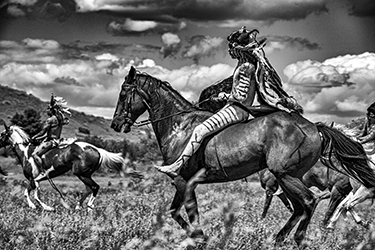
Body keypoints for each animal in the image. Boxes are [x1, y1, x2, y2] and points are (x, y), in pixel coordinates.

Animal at [0, 123, 135, 211]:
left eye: (2, 134)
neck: (25, 153)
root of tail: (98, 150)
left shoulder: (33, 179)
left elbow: (32, 195)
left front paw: (44, 207)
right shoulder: (34, 180)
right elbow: (30, 193)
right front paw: (39, 206)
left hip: (81, 174)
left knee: (95, 187)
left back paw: (89, 207)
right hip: (85, 175)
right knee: (89, 189)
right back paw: (78, 206)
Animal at [110, 66, 375, 246]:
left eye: (123, 93)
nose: (115, 124)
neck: (179, 126)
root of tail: (314, 127)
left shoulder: (183, 181)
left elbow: (189, 212)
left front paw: (200, 238)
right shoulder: (184, 183)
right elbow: (175, 212)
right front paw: (197, 238)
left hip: (286, 175)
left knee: (309, 202)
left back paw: (297, 239)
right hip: (288, 176)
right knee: (300, 207)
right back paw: (279, 238)